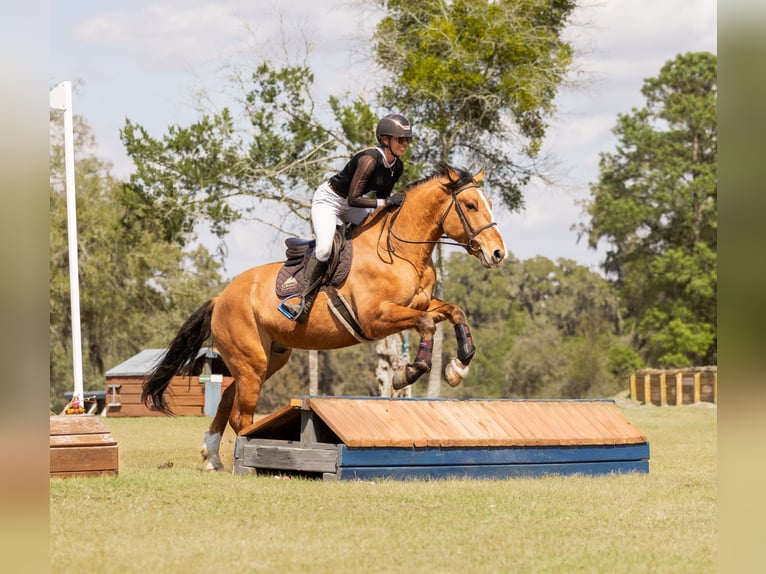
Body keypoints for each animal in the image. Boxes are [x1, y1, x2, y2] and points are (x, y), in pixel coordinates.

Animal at [142, 163, 507, 470]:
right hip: (251, 360)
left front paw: (458, 367)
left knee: (229, 398)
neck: (400, 251)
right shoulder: (376, 318)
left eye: (487, 203)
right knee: (241, 414)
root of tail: (220, 297)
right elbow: (427, 324)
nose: (498, 253)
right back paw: (243, 459)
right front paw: (408, 373)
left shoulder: (420, 303)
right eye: (471, 205)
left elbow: (454, 312)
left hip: (267, 359)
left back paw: (212, 457)